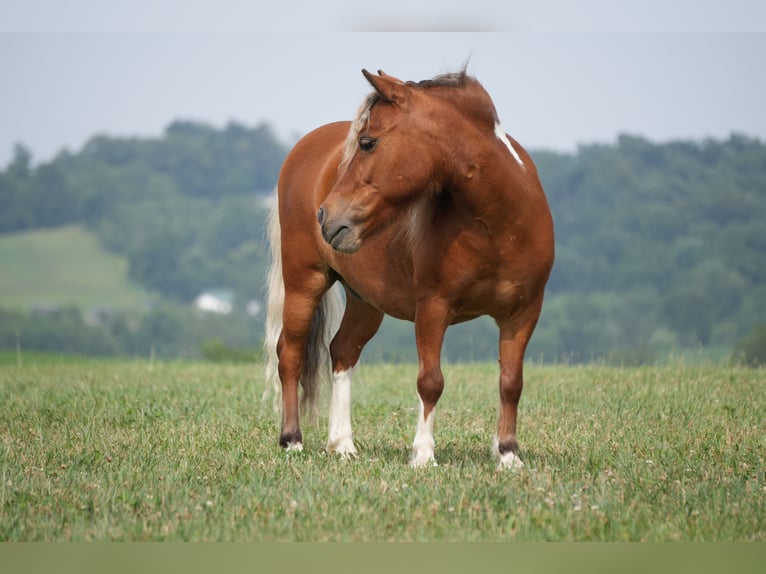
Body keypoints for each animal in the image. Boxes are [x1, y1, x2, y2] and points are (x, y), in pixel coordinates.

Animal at [264, 69, 554, 469]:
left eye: (367, 143)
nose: (326, 215)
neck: (500, 224)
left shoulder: (523, 313)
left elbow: (511, 383)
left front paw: (509, 456)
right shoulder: (433, 307)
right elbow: (430, 381)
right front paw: (423, 455)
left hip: (365, 301)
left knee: (342, 352)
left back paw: (342, 444)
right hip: (303, 283)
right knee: (290, 355)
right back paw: (292, 440)